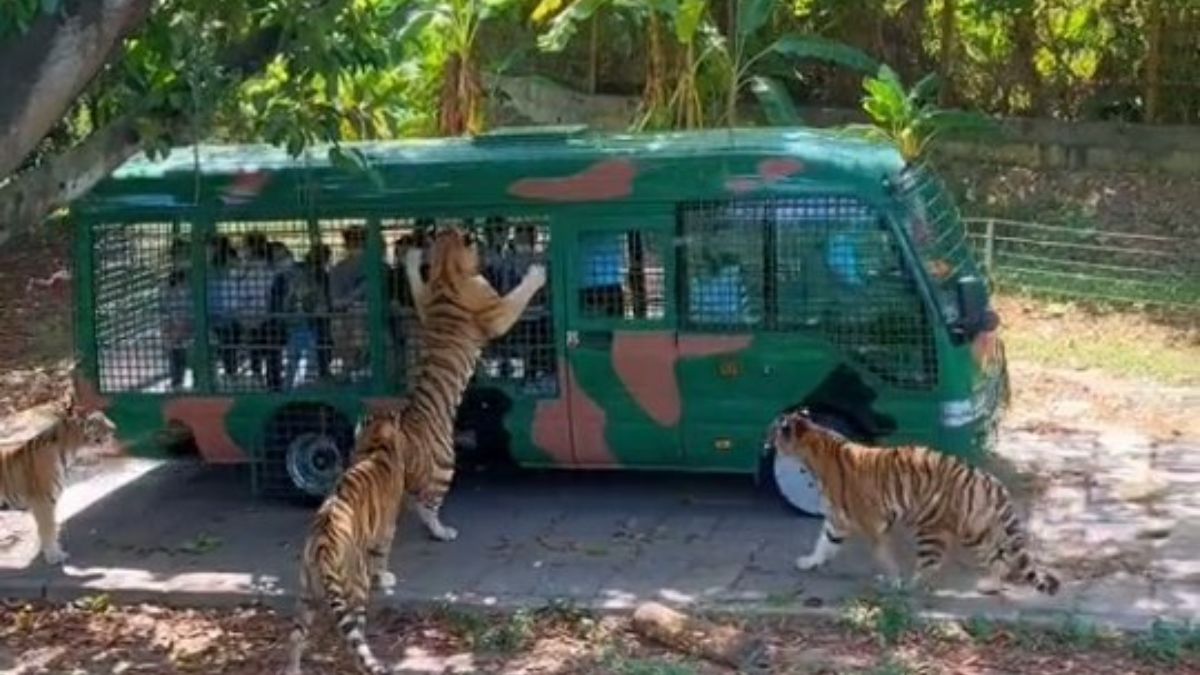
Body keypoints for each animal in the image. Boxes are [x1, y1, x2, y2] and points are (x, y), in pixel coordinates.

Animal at [1, 386, 114, 564]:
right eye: (99, 421)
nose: (115, 428)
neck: (72, 450)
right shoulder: (43, 501)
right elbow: (48, 528)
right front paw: (55, 556)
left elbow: (48, 528)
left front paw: (48, 551)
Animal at [285, 227, 549, 672]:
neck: (447, 270)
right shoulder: (493, 311)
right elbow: (516, 297)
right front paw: (536, 273)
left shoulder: (426, 301)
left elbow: (416, 286)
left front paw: (408, 258)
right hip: (445, 464)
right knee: (426, 506)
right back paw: (442, 531)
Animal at [768, 403, 1060, 593]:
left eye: (774, 431)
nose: (766, 442)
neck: (816, 443)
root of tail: (988, 480)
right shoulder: (837, 520)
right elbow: (824, 543)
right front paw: (809, 563)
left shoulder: (871, 524)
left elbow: (884, 556)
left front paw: (893, 579)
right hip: (977, 529)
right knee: (996, 558)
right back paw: (989, 586)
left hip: (933, 527)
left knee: (932, 562)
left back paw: (907, 587)